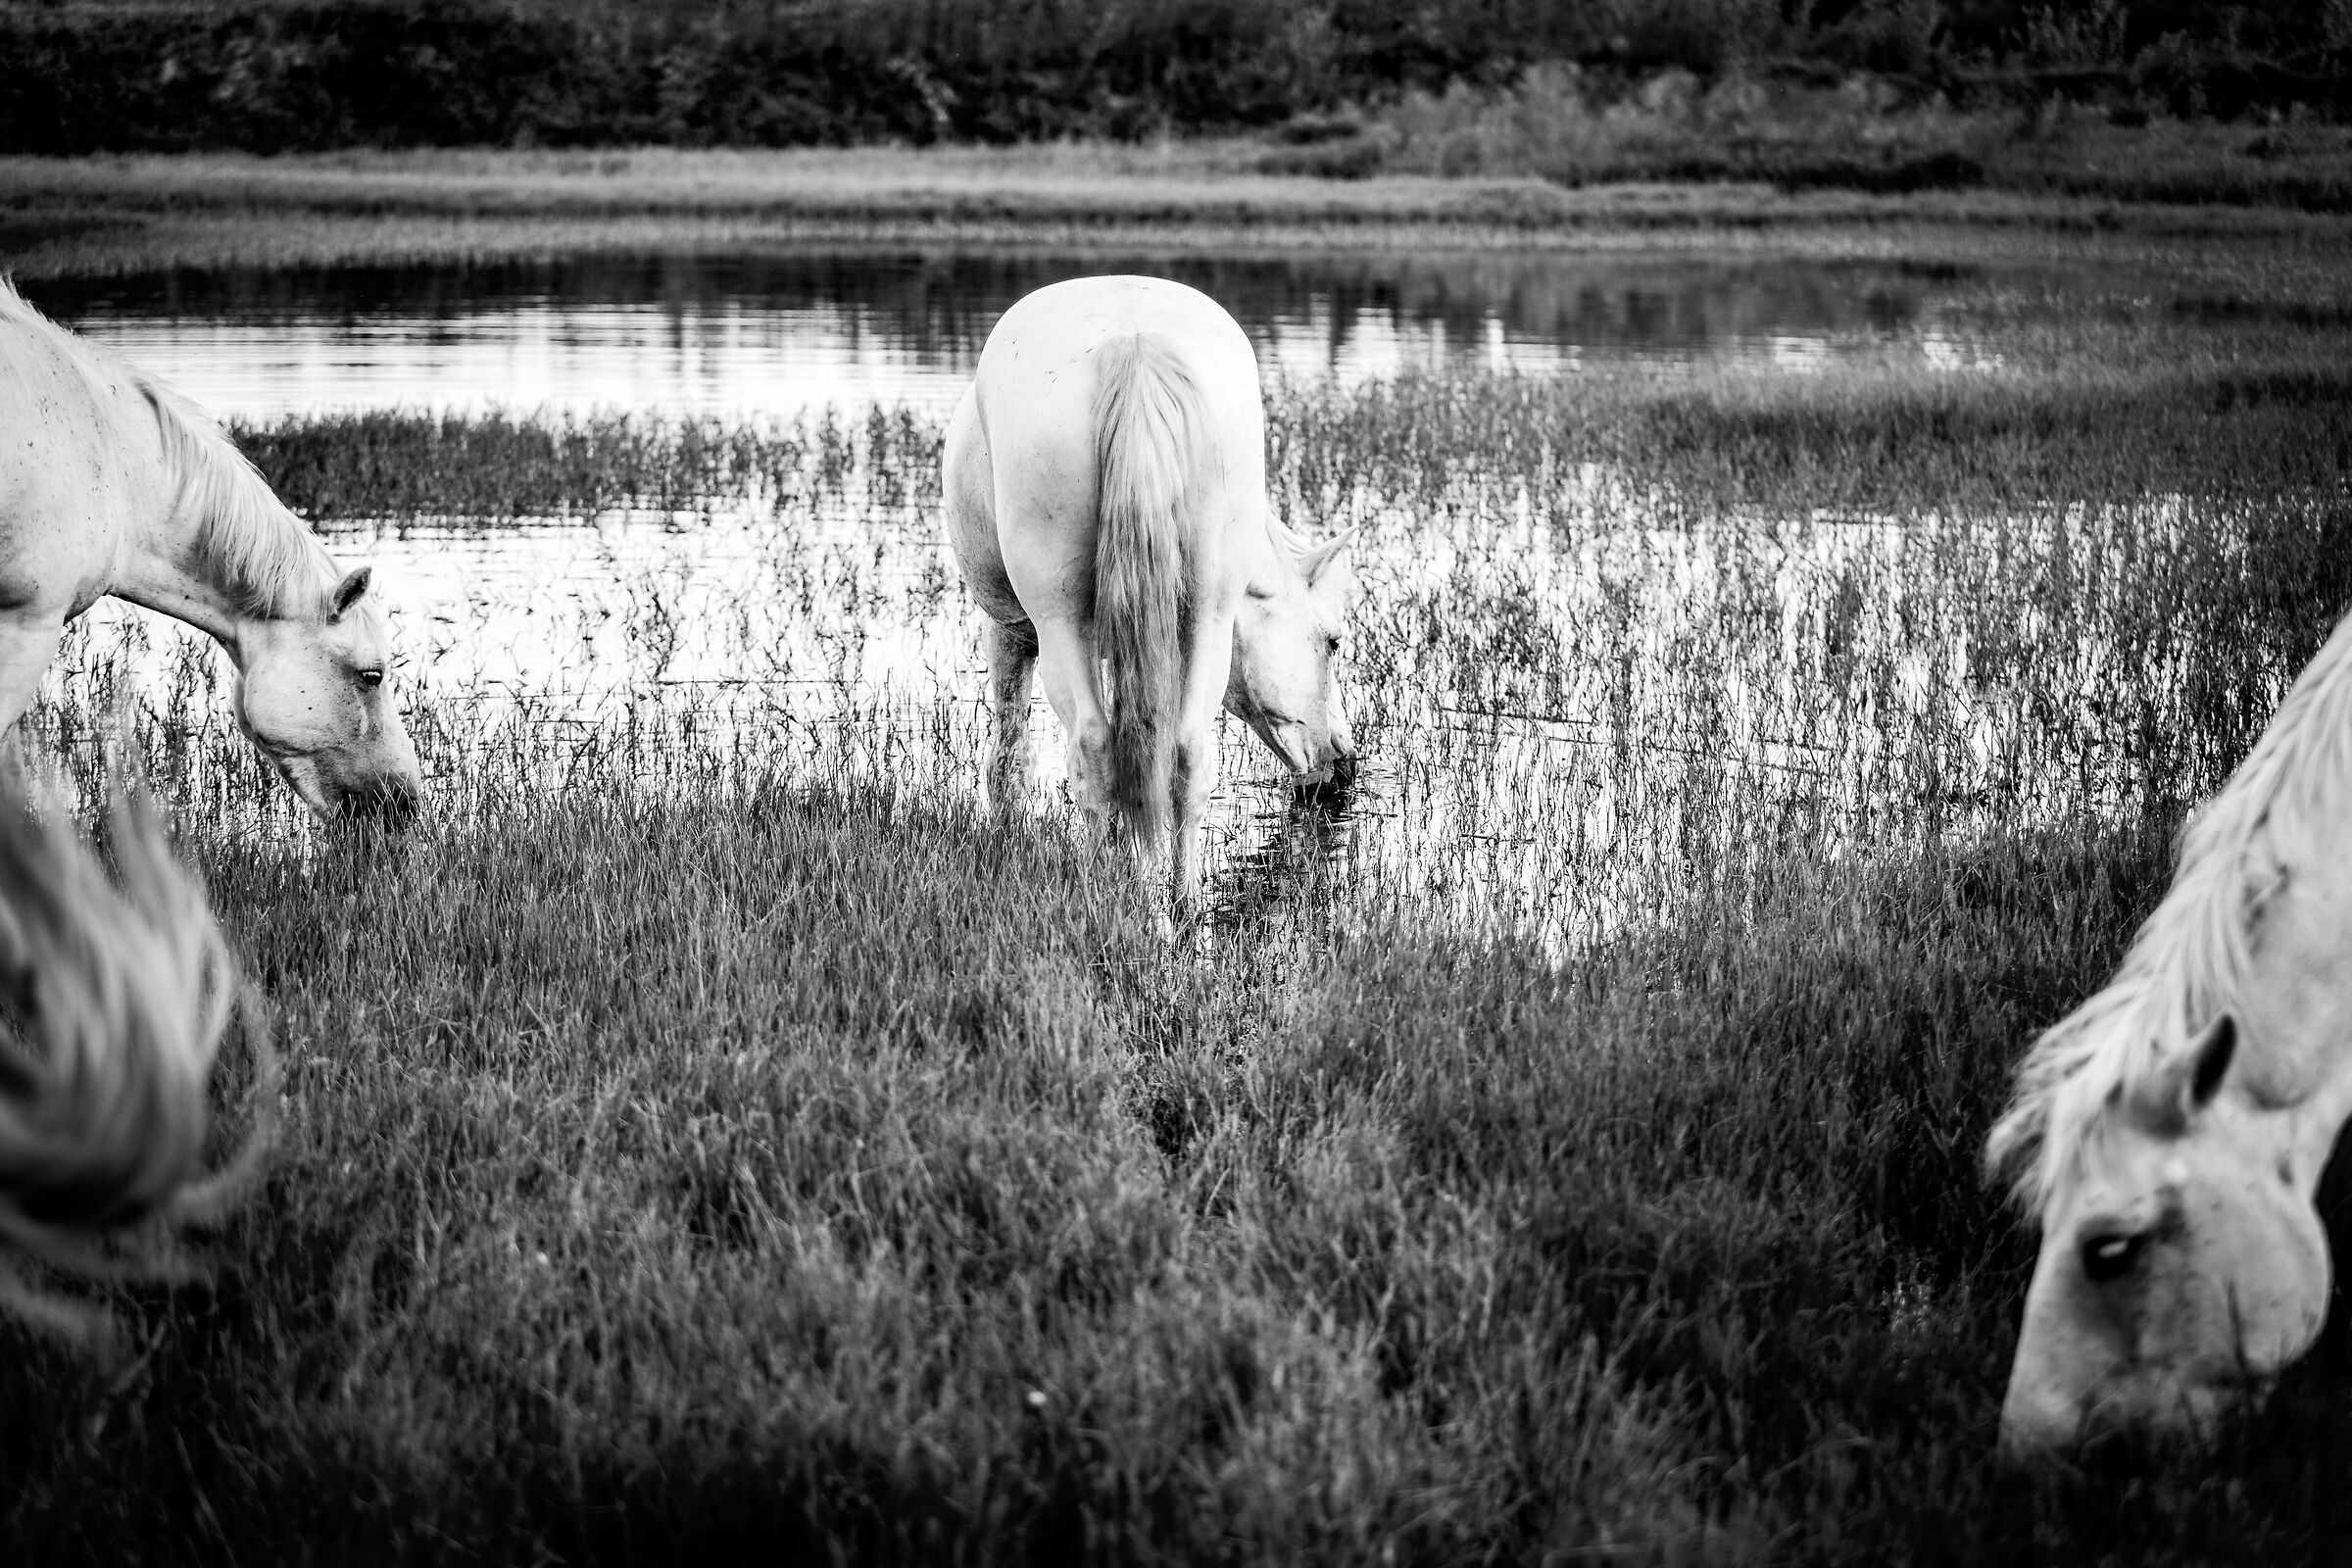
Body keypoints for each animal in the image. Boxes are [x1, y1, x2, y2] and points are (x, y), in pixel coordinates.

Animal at [941, 275, 1356, 914]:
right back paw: (1180, 905)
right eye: (1333, 642)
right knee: (1185, 753)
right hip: (1206, 617)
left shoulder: (1011, 630)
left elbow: (1010, 758)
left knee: (1091, 745)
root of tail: (1136, 345)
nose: (1344, 766)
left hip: (1062, 623)